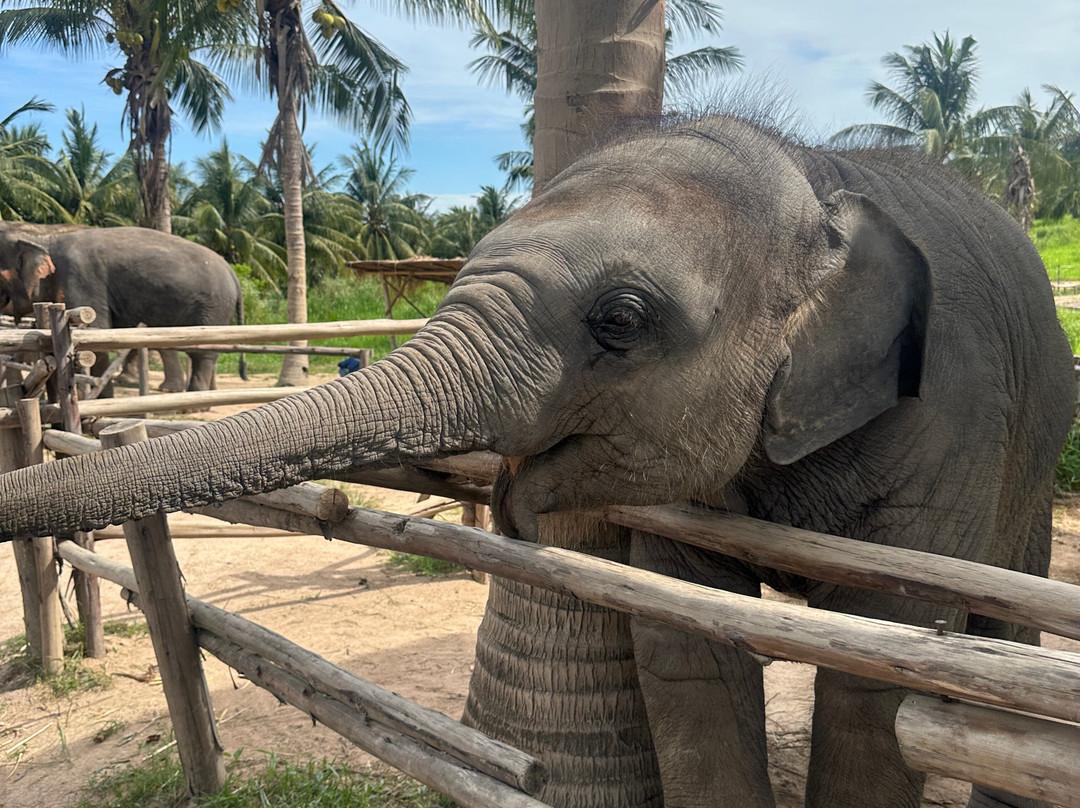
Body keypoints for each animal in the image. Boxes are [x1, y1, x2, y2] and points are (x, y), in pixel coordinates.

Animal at [0, 222, 245, 392]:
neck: (43, 236)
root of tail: (233, 274)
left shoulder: (80, 278)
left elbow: (95, 333)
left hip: (213, 306)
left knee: (203, 350)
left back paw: (194, 404)